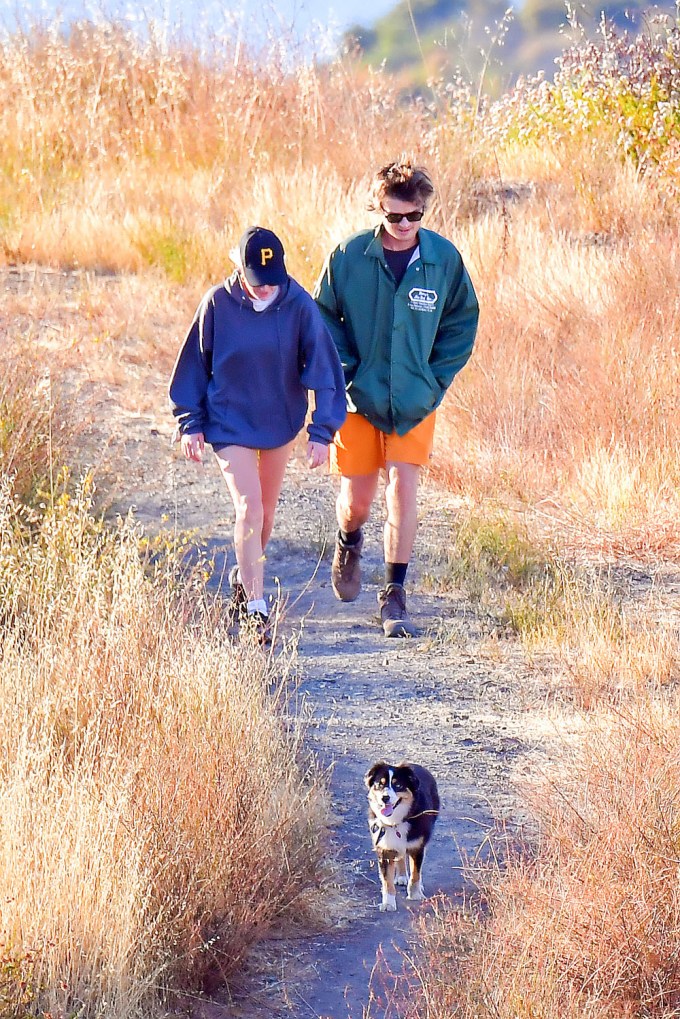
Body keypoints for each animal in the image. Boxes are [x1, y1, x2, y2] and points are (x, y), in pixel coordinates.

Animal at [367, 762, 442, 913]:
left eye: (398, 785)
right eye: (379, 784)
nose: (385, 798)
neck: (397, 821)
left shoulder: (417, 846)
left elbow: (415, 873)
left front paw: (415, 894)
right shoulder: (385, 848)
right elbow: (387, 881)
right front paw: (388, 903)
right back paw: (401, 876)